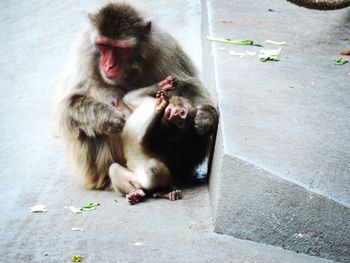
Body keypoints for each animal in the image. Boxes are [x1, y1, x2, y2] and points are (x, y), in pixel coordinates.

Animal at [54, 2, 219, 190]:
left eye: (119, 49)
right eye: (103, 46)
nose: (108, 65)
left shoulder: (166, 47)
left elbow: (189, 87)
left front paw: (205, 117)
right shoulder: (82, 53)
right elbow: (67, 105)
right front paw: (108, 117)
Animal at [109, 77, 202, 205]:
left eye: (180, 121)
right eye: (182, 113)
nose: (176, 115)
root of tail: (144, 185)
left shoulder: (165, 130)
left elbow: (143, 141)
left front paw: (160, 108)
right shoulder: (148, 102)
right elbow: (131, 97)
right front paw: (166, 85)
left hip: (151, 182)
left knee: (153, 165)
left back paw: (166, 191)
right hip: (136, 180)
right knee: (114, 169)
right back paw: (136, 194)